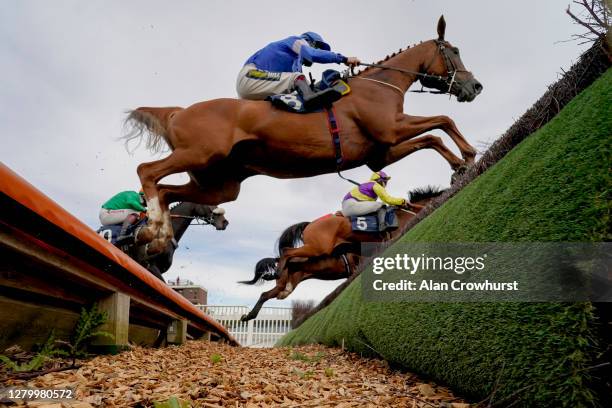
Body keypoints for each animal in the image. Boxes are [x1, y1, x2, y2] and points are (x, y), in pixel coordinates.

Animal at [122, 16, 480, 255]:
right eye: (453, 50)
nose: (475, 86)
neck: (380, 86)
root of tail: (177, 111)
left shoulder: (379, 152)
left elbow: (433, 138)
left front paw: (459, 166)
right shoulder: (391, 128)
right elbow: (443, 121)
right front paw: (469, 156)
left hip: (219, 184)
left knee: (167, 191)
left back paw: (158, 234)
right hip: (199, 153)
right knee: (147, 171)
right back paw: (151, 228)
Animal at [239, 186, 444, 322]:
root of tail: (310, 225)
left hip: (288, 283)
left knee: (267, 292)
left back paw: (249, 314)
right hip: (316, 250)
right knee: (287, 253)